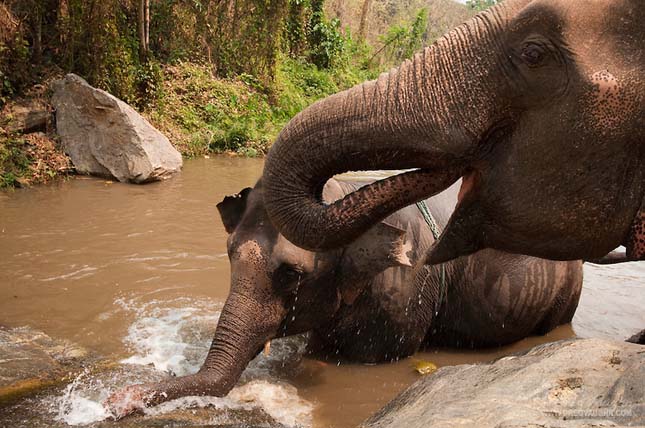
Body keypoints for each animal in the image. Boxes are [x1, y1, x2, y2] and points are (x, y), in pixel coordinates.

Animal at [104, 179, 580, 416]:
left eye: (291, 274)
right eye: (228, 254)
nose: (117, 401)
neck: (345, 198)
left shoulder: (401, 294)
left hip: (565, 299)